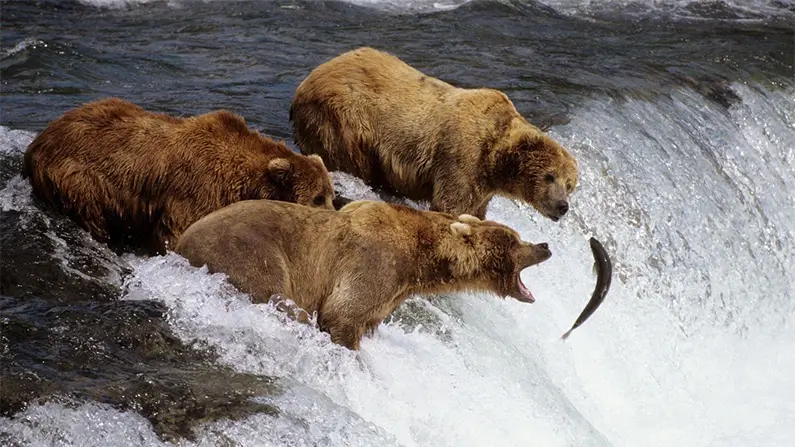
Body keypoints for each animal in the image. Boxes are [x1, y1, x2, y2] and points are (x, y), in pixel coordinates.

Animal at [23, 97, 336, 255]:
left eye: (331, 195)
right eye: (316, 198)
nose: (334, 217)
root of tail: (37, 143)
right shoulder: (195, 190)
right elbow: (178, 233)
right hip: (78, 178)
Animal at [174, 199, 552, 350]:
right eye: (514, 240)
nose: (545, 245)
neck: (419, 259)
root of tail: (180, 242)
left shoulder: (391, 292)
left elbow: (367, 318)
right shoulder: (373, 262)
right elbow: (342, 313)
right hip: (250, 253)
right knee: (278, 296)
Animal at [290, 46, 579, 221]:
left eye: (569, 185)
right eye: (549, 175)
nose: (562, 206)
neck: (495, 159)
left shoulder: (482, 185)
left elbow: (476, 210)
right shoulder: (461, 157)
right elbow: (451, 204)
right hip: (344, 118)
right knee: (352, 159)